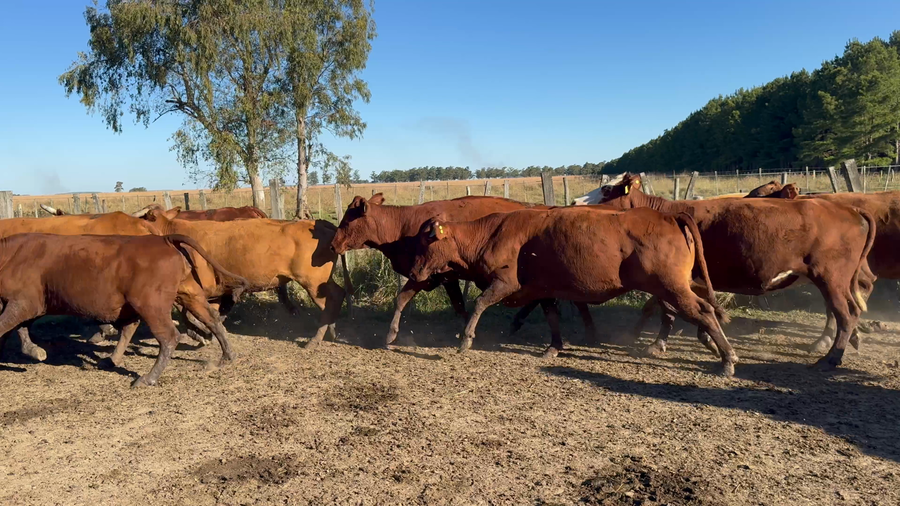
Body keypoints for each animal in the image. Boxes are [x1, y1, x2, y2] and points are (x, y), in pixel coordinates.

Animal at [0, 233, 247, 386]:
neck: (10, 254)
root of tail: (163, 239)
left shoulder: (23, 303)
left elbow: (6, 327)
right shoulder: (21, 305)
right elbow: (18, 329)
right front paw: (33, 350)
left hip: (151, 305)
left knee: (168, 337)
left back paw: (148, 378)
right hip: (188, 293)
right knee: (212, 318)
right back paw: (227, 357)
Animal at [138, 210, 347, 348]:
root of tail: (318, 223)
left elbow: (191, 315)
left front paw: (201, 334)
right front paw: (207, 333)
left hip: (313, 283)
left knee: (330, 302)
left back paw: (315, 339)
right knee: (337, 295)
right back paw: (331, 330)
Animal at [330, 194, 597, 348]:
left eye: (347, 220)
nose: (333, 244)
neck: (404, 226)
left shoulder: (433, 275)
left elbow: (449, 303)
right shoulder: (430, 275)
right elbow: (405, 299)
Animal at [407, 206, 738, 374]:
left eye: (426, 241)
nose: (413, 272)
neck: (490, 234)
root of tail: (669, 215)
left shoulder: (506, 283)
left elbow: (479, 303)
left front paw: (466, 339)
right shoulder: (542, 287)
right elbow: (551, 315)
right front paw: (554, 347)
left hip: (671, 286)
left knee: (702, 310)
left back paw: (726, 359)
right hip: (676, 285)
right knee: (704, 306)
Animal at [591, 173, 875, 370]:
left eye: (606, 189)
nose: (579, 202)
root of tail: (849, 208)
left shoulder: (671, 278)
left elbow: (665, 308)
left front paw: (653, 341)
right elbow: (673, 308)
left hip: (831, 278)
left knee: (846, 313)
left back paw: (831, 356)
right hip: (837, 279)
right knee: (852, 304)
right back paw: (846, 340)